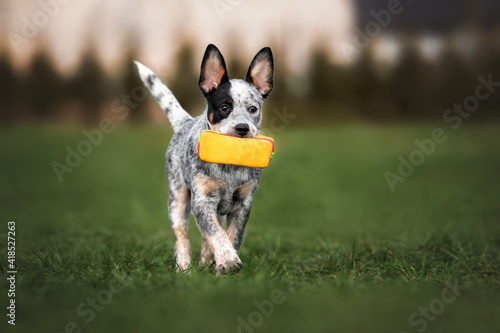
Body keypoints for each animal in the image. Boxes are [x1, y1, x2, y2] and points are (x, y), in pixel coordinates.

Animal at [136, 44, 274, 272]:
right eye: (225, 108)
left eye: (253, 109)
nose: (243, 128)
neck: (229, 167)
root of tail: (185, 121)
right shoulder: (201, 200)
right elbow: (215, 232)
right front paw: (228, 260)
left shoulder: (243, 203)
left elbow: (232, 236)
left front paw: (226, 261)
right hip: (177, 198)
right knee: (181, 236)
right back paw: (184, 268)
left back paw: (206, 262)